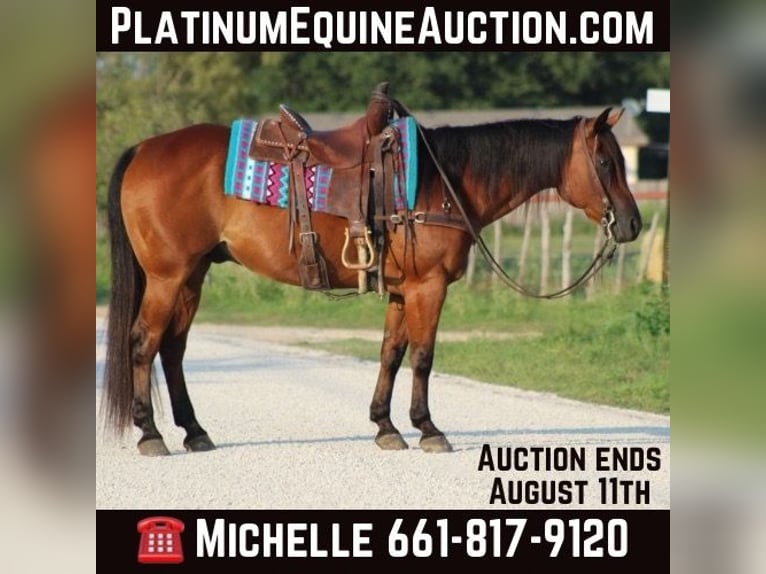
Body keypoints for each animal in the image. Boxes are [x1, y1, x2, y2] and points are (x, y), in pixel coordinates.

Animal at [101, 90, 642, 456]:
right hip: (168, 277)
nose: (632, 223)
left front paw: (386, 426)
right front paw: (429, 429)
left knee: (172, 349)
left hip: (191, 277)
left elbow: (391, 354)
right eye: (604, 161)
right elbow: (423, 357)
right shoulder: (428, 288)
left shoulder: (404, 291)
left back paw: (195, 432)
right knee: (144, 343)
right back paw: (150, 434)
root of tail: (143, 149)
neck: (444, 181)